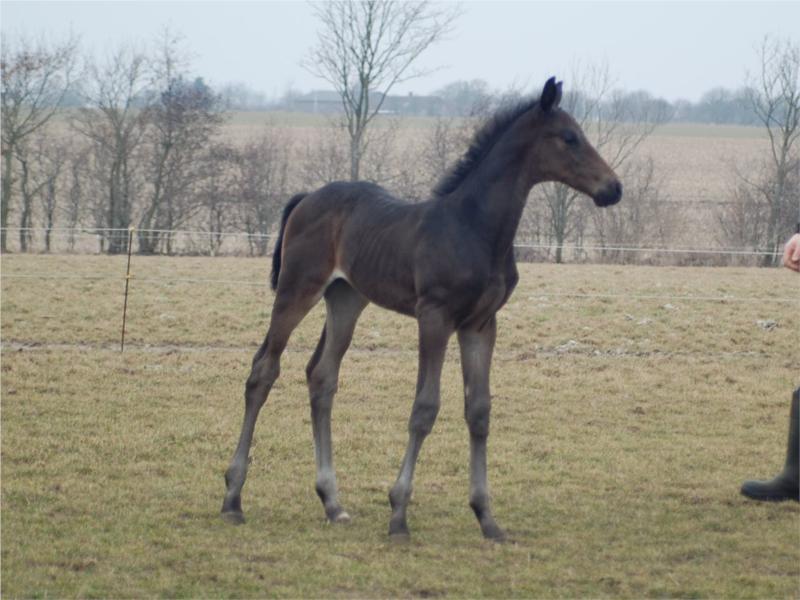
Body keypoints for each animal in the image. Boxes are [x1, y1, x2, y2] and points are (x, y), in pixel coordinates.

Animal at [222, 76, 620, 540]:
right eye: (570, 138)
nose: (613, 188)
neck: (475, 228)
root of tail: (306, 198)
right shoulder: (435, 316)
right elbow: (424, 408)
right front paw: (398, 514)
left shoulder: (481, 323)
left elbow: (479, 410)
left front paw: (487, 517)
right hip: (296, 289)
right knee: (263, 371)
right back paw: (233, 498)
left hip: (346, 299)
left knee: (322, 377)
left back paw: (332, 502)